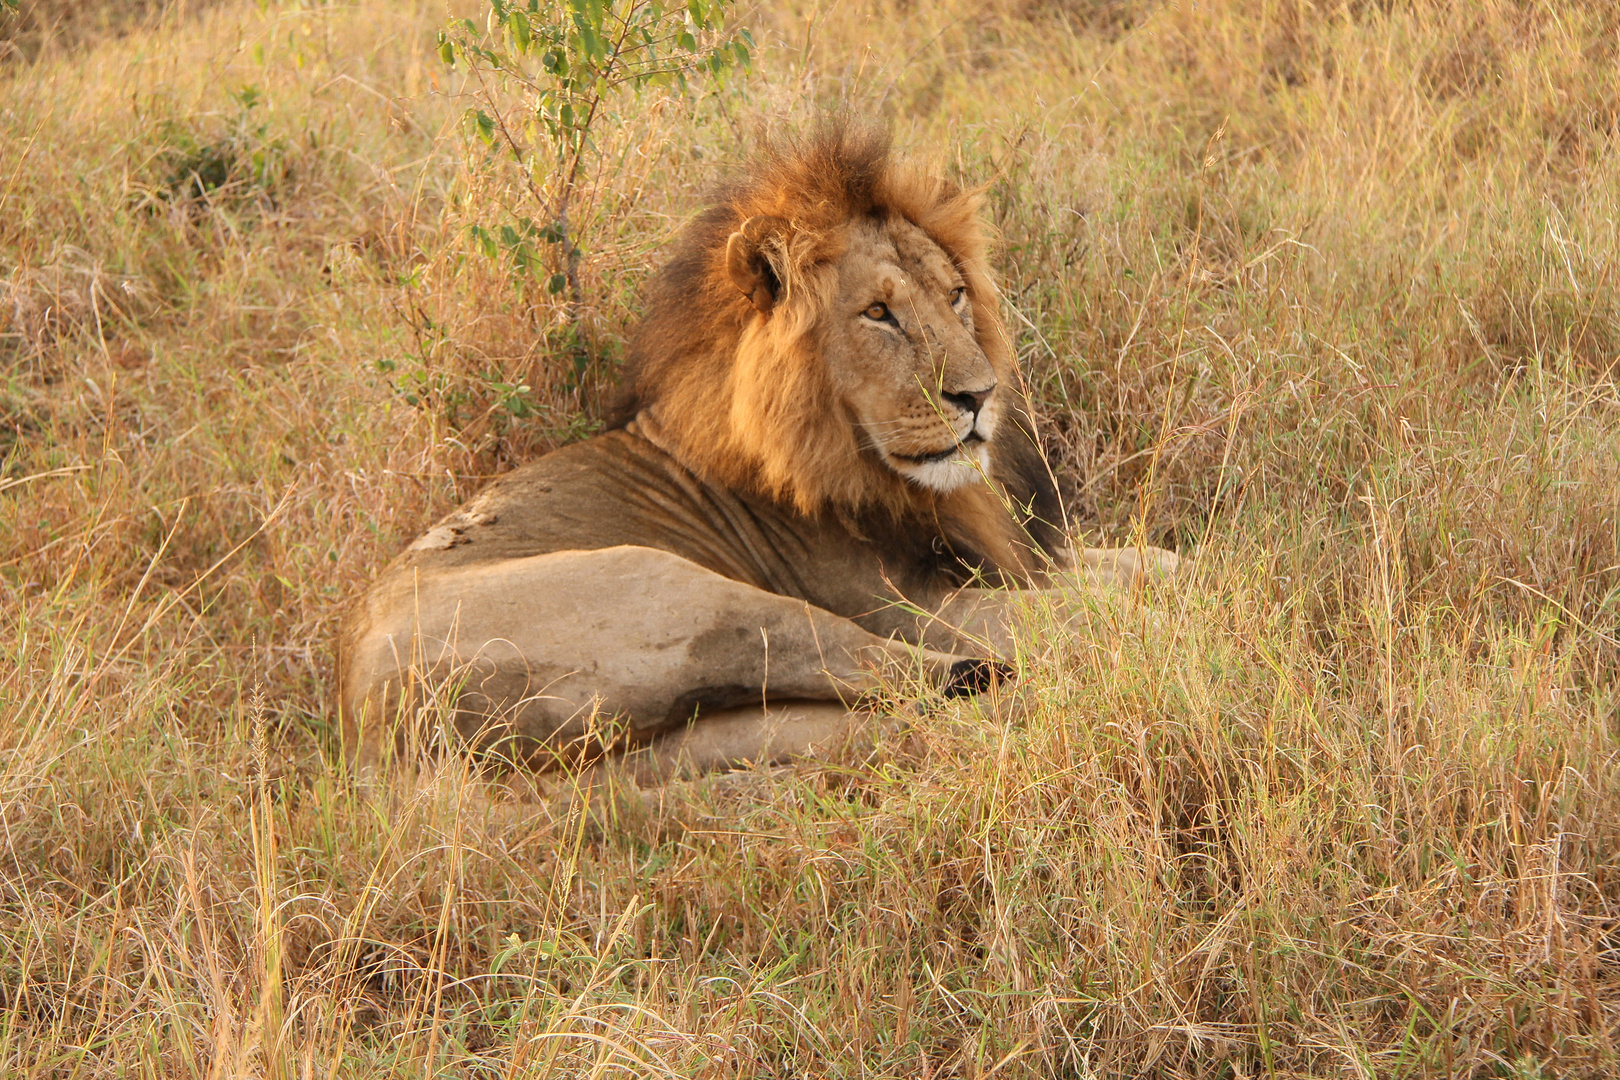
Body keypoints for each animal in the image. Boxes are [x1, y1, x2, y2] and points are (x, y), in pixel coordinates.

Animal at [338, 127, 1179, 780]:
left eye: (955, 295)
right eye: (878, 313)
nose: (979, 398)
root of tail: (365, 730)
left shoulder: (1015, 559)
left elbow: (1157, 565)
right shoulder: (914, 600)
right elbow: (1095, 609)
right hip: (685, 598)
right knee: (898, 672)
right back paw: (1026, 690)